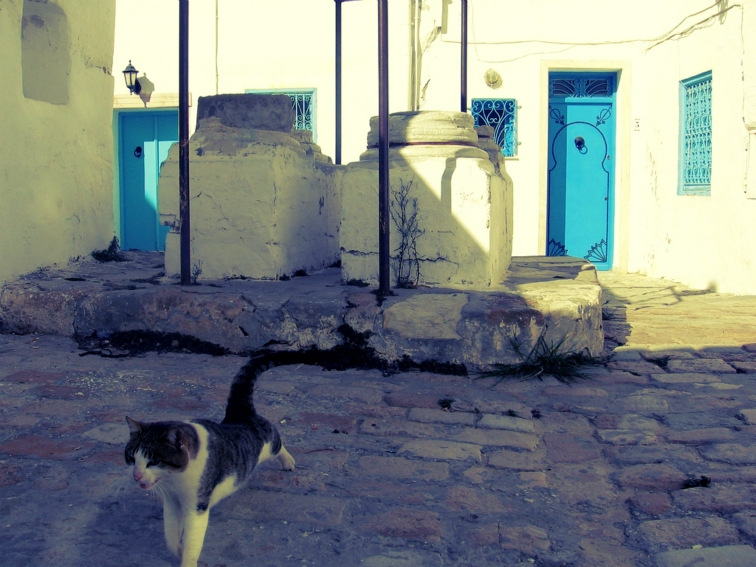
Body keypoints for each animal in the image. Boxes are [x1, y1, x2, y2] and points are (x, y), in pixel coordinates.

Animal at [124, 356, 296, 567]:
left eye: (153, 462)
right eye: (132, 458)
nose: (136, 475)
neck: (175, 480)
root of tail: (240, 412)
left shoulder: (197, 505)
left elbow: (192, 541)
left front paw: (187, 559)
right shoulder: (172, 502)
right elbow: (170, 536)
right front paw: (178, 550)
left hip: (269, 443)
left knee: (277, 441)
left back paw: (288, 461)